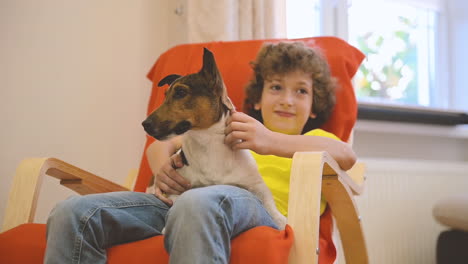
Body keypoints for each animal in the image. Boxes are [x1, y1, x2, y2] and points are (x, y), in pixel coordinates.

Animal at [141, 47, 288, 229]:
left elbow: (270, 204)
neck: (207, 140)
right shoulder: (175, 189)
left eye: (181, 92)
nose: (145, 124)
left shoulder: (256, 184)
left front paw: (281, 221)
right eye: (165, 95)